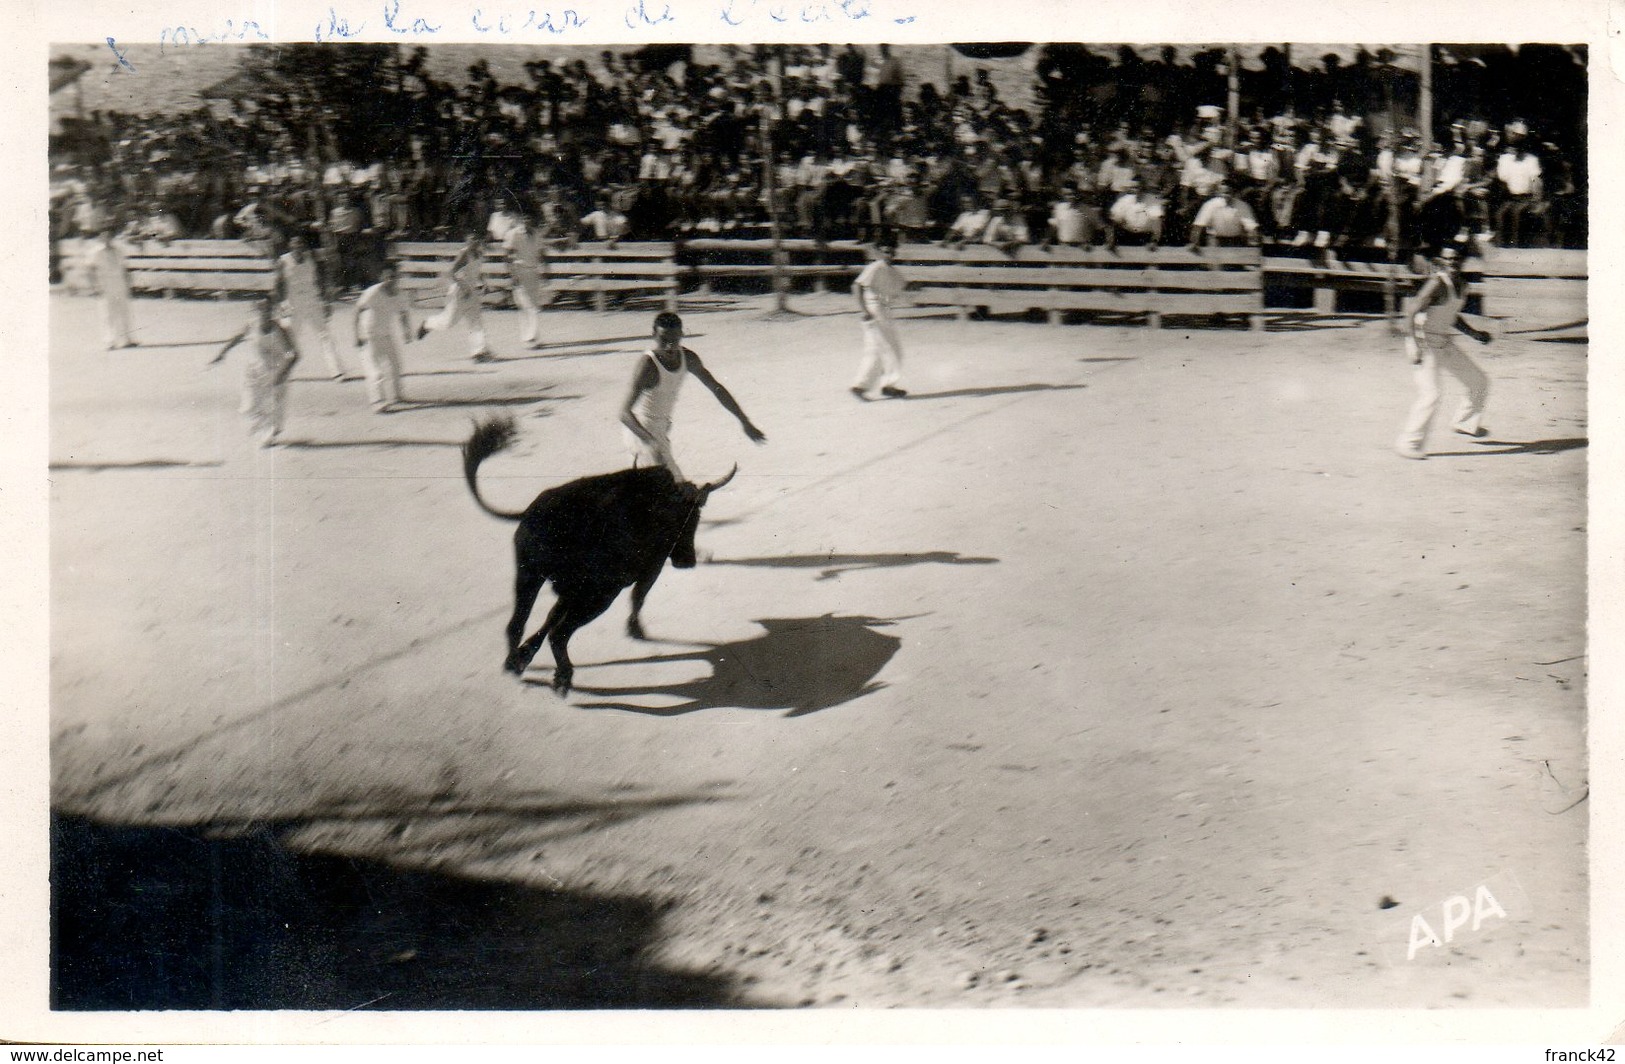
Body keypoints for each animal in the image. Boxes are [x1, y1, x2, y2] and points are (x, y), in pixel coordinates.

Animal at [458, 412, 737, 695]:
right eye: (691, 521)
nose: (687, 561)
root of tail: (533, 511)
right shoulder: (650, 568)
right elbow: (638, 597)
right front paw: (636, 630)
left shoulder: (567, 590)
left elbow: (549, 617)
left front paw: (526, 654)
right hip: (599, 594)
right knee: (559, 633)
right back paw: (563, 676)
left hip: (530, 575)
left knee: (518, 623)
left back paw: (515, 663)